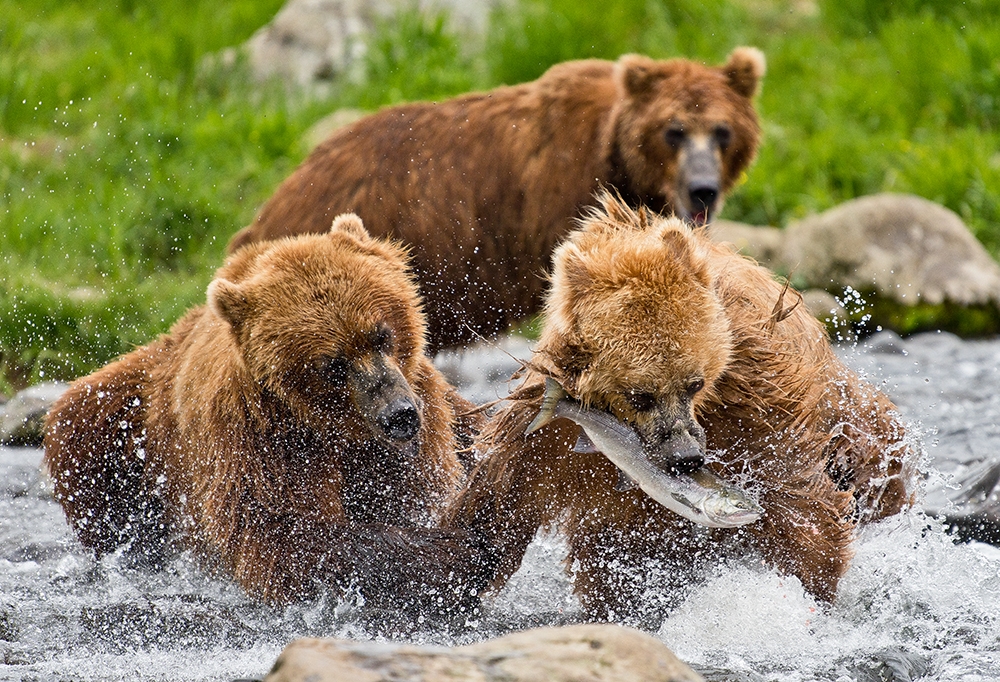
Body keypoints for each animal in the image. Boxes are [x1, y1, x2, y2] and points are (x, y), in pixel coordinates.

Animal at [43, 214, 484, 618]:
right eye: (333, 365)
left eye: (381, 334)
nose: (398, 414)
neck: (333, 428)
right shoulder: (261, 435)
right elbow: (282, 534)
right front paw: (453, 554)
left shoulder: (421, 413)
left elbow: (416, 485)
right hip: (129, 419)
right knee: (82, 436)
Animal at [444, 193, 917, 623]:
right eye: (640, 394)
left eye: (695, 382)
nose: (686, 457)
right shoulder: (546, 429)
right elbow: (498, 498)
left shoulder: (755, 394)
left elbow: (795, 494)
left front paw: (809, 588)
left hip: (851, 414)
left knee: (881, 455)